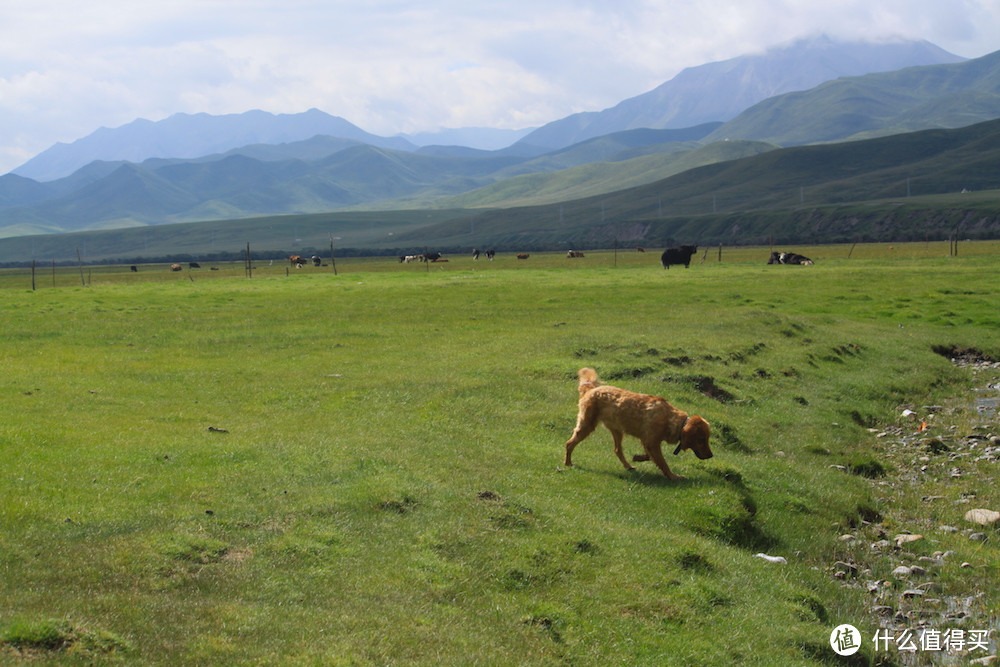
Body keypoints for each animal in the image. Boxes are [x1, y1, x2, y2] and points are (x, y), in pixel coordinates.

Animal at [564, 366, 712, 480]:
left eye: (706, 439)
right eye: (701, 439)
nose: (711, 455)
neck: (671, 420)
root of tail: (591, 389)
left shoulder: (648, 441)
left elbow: (651, 456)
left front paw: (638, 457)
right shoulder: (651, 442)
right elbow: (663, 463)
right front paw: (673, 476)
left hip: (617, 430)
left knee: (617, 450)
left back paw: (628, 466)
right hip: (586, 426)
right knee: (569, 444)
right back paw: (568, 463)